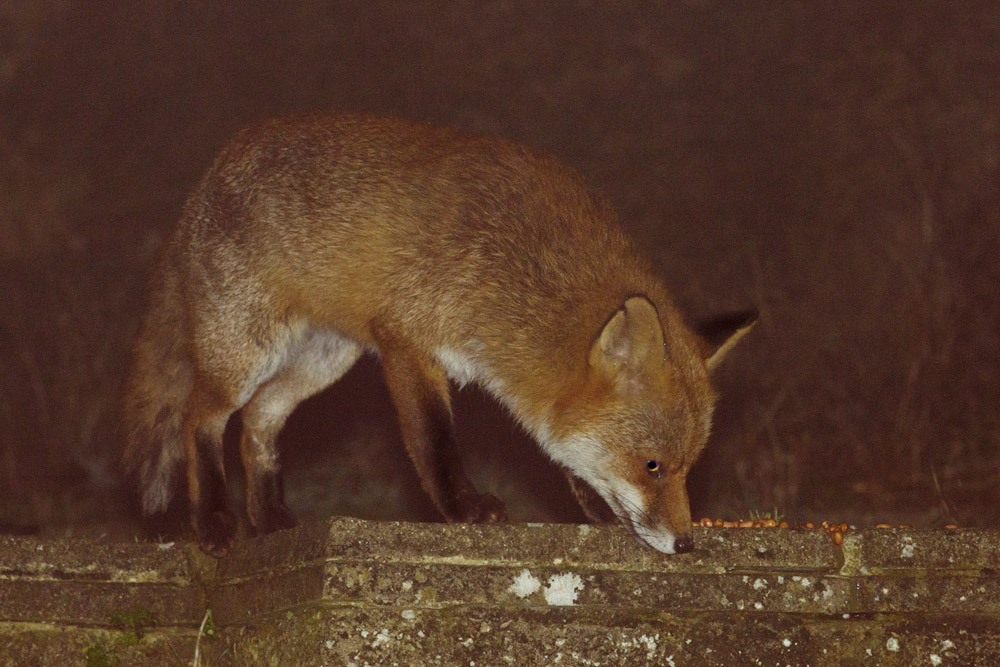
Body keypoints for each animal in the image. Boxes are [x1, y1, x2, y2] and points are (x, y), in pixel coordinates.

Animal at [123, 113, 755, 557]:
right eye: (652, 467)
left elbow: (569, 457)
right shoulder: (407, 340)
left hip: (321, 362)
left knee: (257, 424)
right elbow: (436, 443)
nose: (686, 544)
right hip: (245, 353)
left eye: (688, 468)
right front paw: (464, 507)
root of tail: (206, 178)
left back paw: (270, 520)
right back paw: (214, 521)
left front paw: (591, 509)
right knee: (199, 419)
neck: (512, 267)